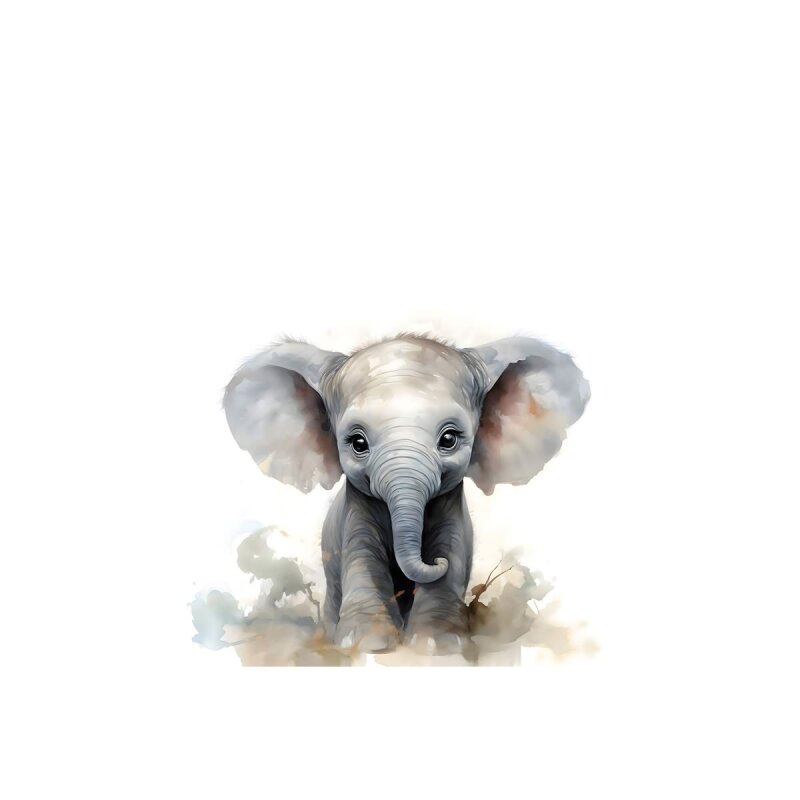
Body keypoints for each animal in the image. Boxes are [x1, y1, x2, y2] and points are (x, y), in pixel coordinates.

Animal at [223, 333, 589, 654]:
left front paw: (438, 646)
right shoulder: (354, 511)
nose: (433, 561)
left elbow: (452, 548)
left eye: (449, 439)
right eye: (357, 443)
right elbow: (362, 554)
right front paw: (365, 644)